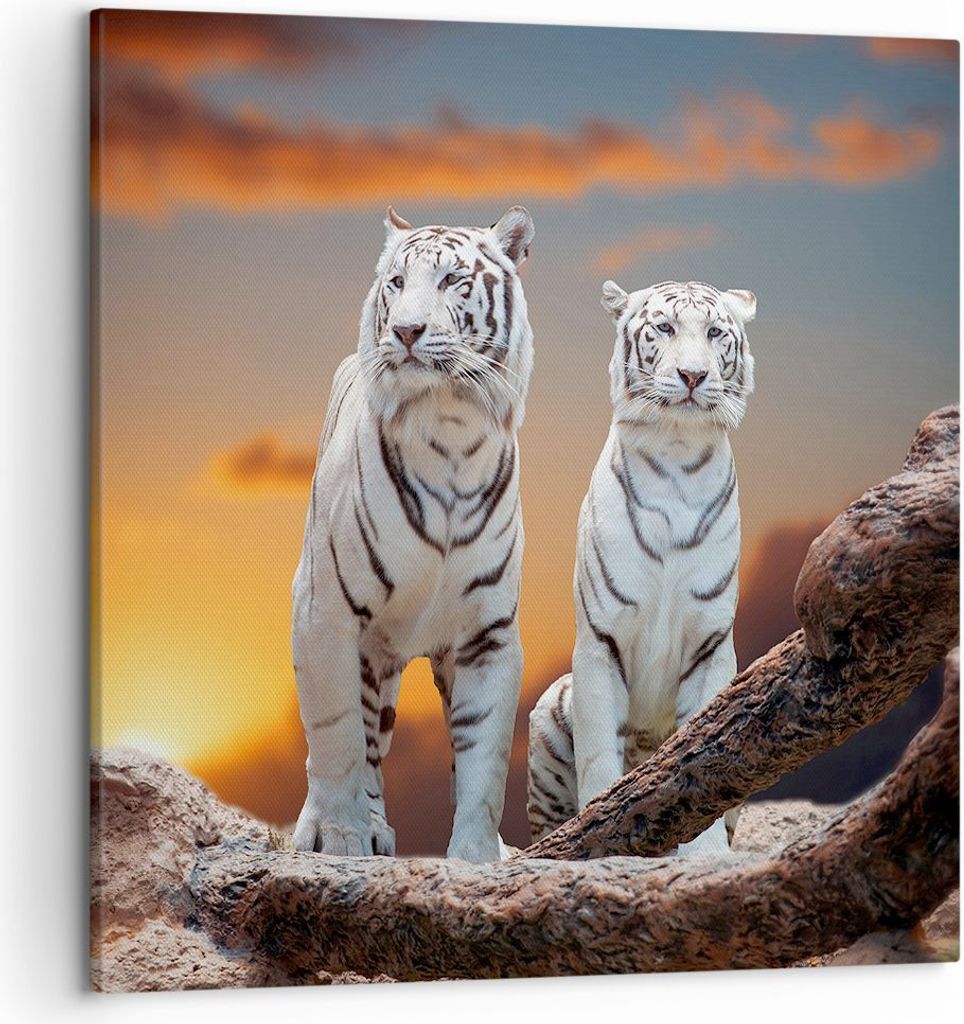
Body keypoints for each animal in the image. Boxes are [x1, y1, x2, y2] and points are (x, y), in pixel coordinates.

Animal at [291, 205, 535, 863]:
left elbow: (484, 758)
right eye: (397, 284)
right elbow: (337, 739)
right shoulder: (325, 611)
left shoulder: (488, 633)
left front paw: (477, 858)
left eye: (453, 280)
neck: (450, 427)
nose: (405, 331)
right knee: (361, 741)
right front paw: (339, 838)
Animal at [527, 279, 756, 856]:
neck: (677, 454)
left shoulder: (711, 644)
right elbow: (598, 758)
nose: (693, 375)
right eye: (665, 328)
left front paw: (704, 855)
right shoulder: (599, 640)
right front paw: (598, 834)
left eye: (715, 332)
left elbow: (704, 752)